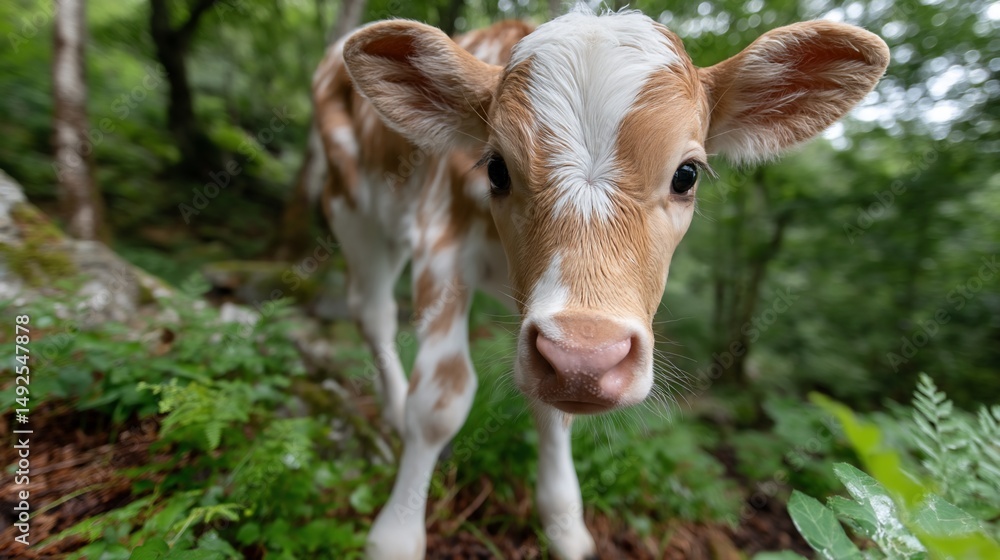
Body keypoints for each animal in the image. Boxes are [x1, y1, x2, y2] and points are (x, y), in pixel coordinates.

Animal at [316, 7, 888, 559]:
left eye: (687, 174)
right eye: (496, 169)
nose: (586, 358)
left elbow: (552, 411)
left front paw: (565, 524)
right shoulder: (440, 243)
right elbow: (438, 403)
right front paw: (395, 536)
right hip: (352, 209)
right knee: (371, 312)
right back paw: (392, 408)